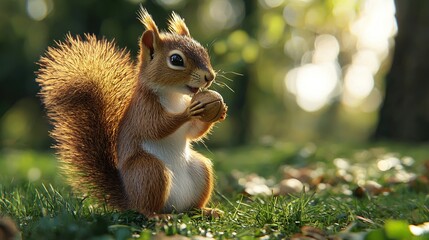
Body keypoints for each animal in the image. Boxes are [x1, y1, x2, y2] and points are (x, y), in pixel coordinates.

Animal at [36, 7, 227, 216]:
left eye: (203, 51)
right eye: (176, 60)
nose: (210, 76)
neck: (174, 96)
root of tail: (129, 199)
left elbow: (193, 132)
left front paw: (221, 111)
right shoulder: (143, 110)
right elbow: (156, 127)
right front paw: (188, 112)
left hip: (200, 169)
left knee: (192, 204)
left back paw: (205, 210)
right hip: (149, 171)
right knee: (146, 208)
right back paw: (157, 216)